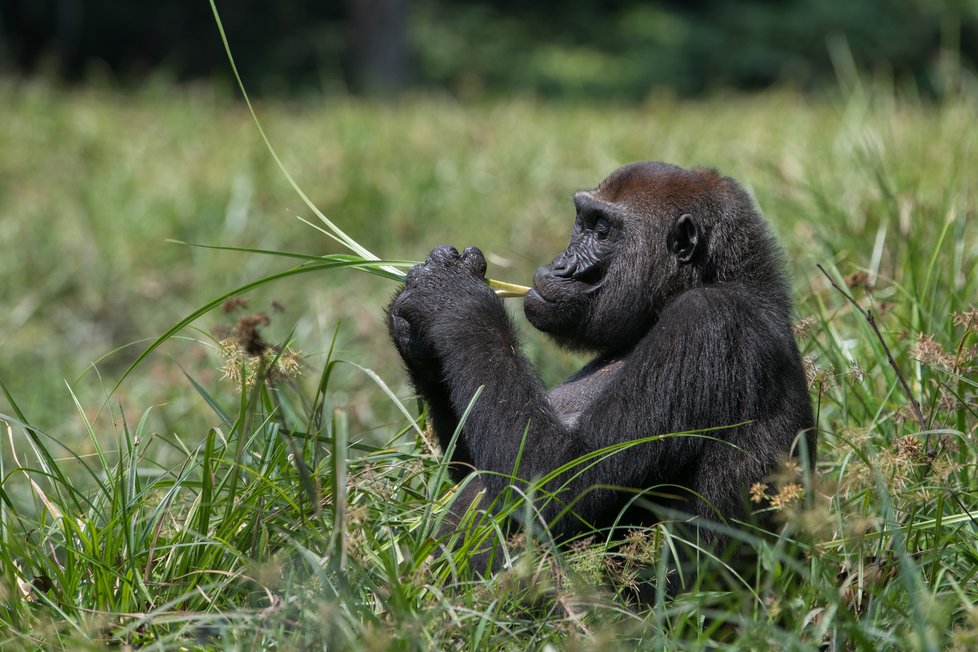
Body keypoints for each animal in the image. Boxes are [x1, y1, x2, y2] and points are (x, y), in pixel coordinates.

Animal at [386, 162, 812, 584]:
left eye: (602, 229)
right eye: (582, 221)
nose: (558, 264)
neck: (725, 277)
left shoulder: (706, 320)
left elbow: (554, 487)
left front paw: (450, 294)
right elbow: (470, 466)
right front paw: (414, 335)